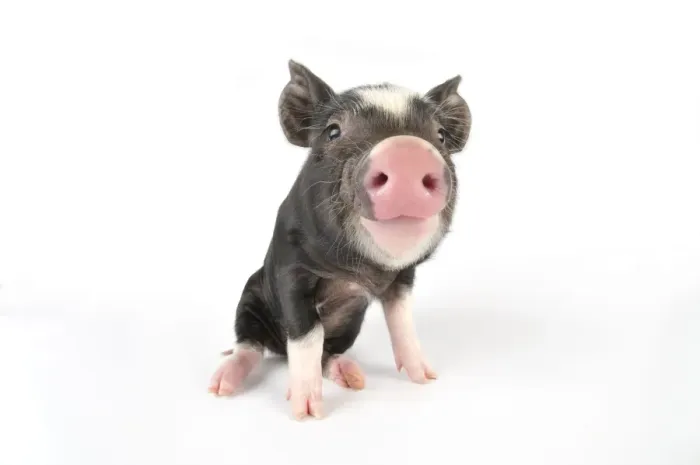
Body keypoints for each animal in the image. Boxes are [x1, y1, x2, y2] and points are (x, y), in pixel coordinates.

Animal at [208, 59, 472, 420]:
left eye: (441, 136)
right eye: (333, 131)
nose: (407, 152)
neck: (358, 270)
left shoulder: (403, 278)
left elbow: (402, 322)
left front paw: (426, 377)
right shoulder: (290, 268)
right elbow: (307, 334)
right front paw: (306, 412)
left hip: (350, 324)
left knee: (328, 352)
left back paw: (352, 377)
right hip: (250, 296)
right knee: (249, 343)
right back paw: (221, 384)